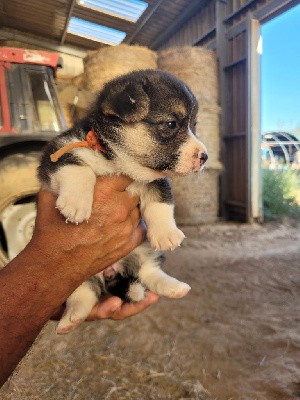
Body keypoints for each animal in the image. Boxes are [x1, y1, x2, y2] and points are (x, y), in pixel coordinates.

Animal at [38, 70, 207, 332]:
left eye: (194, 126)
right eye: (171, 124)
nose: (205, 157)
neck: (122, 163)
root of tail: (111, 271)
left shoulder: (156, 180)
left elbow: (161, 204)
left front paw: (167, 234)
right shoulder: (59, 154)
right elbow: (77, 167)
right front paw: (76, 205)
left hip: (144, 251)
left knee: (148, 272)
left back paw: (174, 287)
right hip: (70, 276)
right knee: (84, 294)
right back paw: (71, 319)